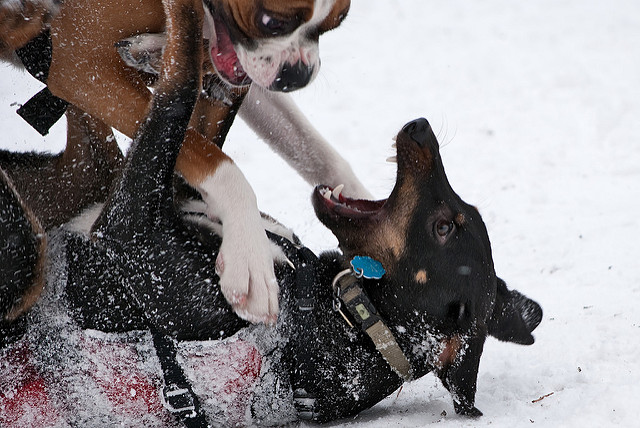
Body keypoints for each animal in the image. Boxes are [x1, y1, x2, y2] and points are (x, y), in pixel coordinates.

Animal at [0, 0, 370, 324]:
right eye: (272, 23)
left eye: (337, 21)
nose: (298, 75)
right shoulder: (84, 67)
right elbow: (207, 146)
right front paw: (249, 256)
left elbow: (316, 153)